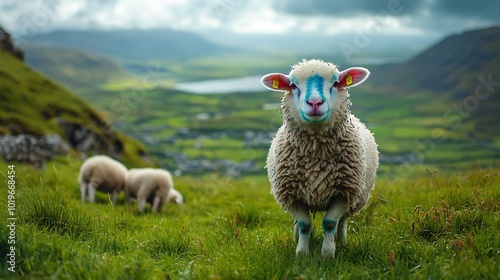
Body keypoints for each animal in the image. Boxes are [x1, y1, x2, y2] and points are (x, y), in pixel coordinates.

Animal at [262, 58, 378, 258]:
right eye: (293, 85)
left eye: (336, 83)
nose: (315, 102)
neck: (316, 155)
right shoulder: (291, 194)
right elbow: (304, 224)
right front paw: (302, 253)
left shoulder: (343, 193)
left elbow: (330, 223)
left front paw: (327, 254)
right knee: (298, 223)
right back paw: (296, 238)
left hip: (357, 197)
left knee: (343, 220)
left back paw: (342, 241)